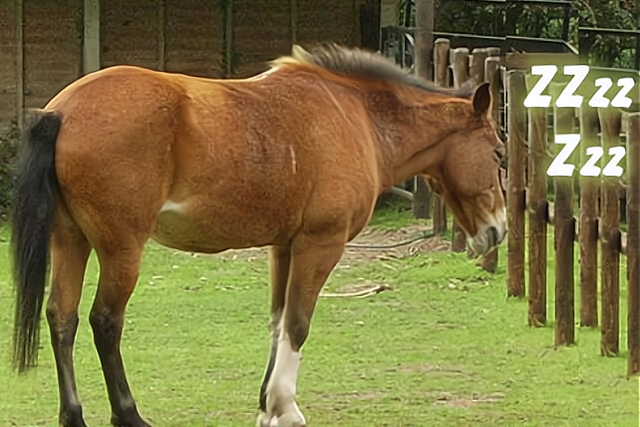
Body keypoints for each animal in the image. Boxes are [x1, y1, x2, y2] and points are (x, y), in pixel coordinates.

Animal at [11, 44, 504, 427]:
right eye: (499, 152)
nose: (498, 230)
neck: (356, 116)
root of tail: (63, 111)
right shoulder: (320, 244)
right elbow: (299, 323)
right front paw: (285, 408)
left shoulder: (283, 247)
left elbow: (277, 321)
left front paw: (267, 404)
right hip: (121, 250)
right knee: (105, 323)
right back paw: (128, 414)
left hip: (70, 241)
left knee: (62, 318)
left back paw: (73, 415)